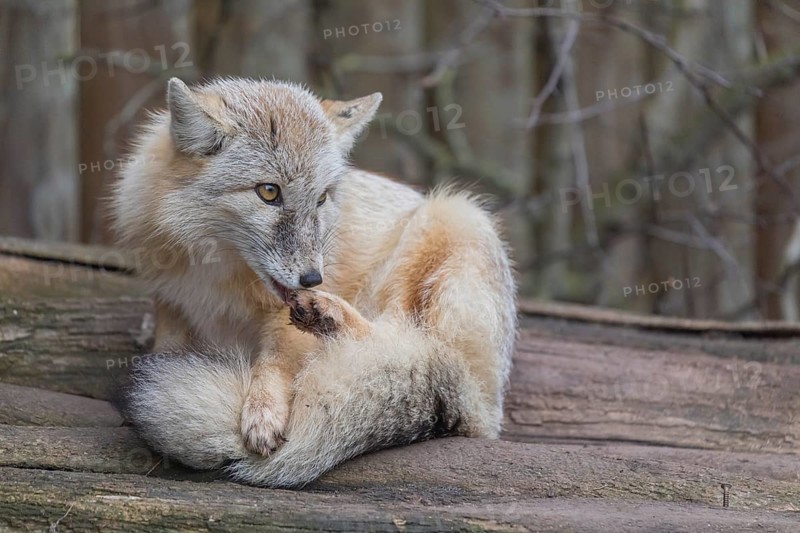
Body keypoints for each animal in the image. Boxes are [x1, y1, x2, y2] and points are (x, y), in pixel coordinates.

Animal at [111, 77, 517, 488]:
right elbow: (166, 353)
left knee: (404, 345)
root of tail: (481, 401)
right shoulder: (172, 302)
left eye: (322, 198)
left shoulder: (282, 316)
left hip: (447, 224)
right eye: (269, 191)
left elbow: (275, 360)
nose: (312, 279)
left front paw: (263, 409)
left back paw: (330, 315)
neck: (215, 279)